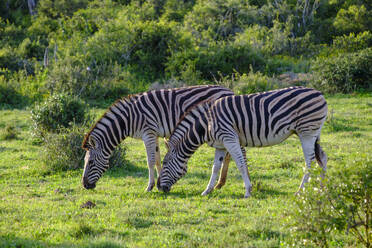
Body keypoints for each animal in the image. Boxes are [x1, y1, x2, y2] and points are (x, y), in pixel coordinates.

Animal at [157, 86, 328, 198]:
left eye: (165, 163)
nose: (159, 187)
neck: (207, 124)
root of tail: (319, 93)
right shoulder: (220, 145)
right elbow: (215, 168)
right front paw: (207, 191)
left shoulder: (229, 138)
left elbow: (240, 163)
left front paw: (247, 191)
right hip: (315, 133)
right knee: (322, 157)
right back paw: (322, 188)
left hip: (306, 132)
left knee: (310, 162)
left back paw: (301, 191)